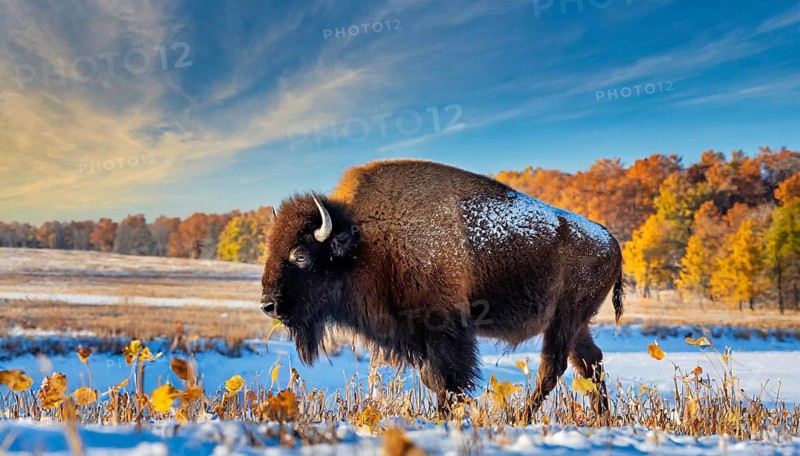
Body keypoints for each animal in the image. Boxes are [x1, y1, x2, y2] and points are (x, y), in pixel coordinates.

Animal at [260, 159, 623, 416]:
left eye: (301, 255)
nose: (268, 305)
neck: (366, 240)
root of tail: (610, 239)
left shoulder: (443, 328)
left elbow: (447, 380)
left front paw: (446, 417)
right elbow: (432, 379)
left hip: (565, 319)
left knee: (553, 368)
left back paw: (520, 419)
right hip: (577, 324)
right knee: (590, 363)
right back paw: (601, 418)